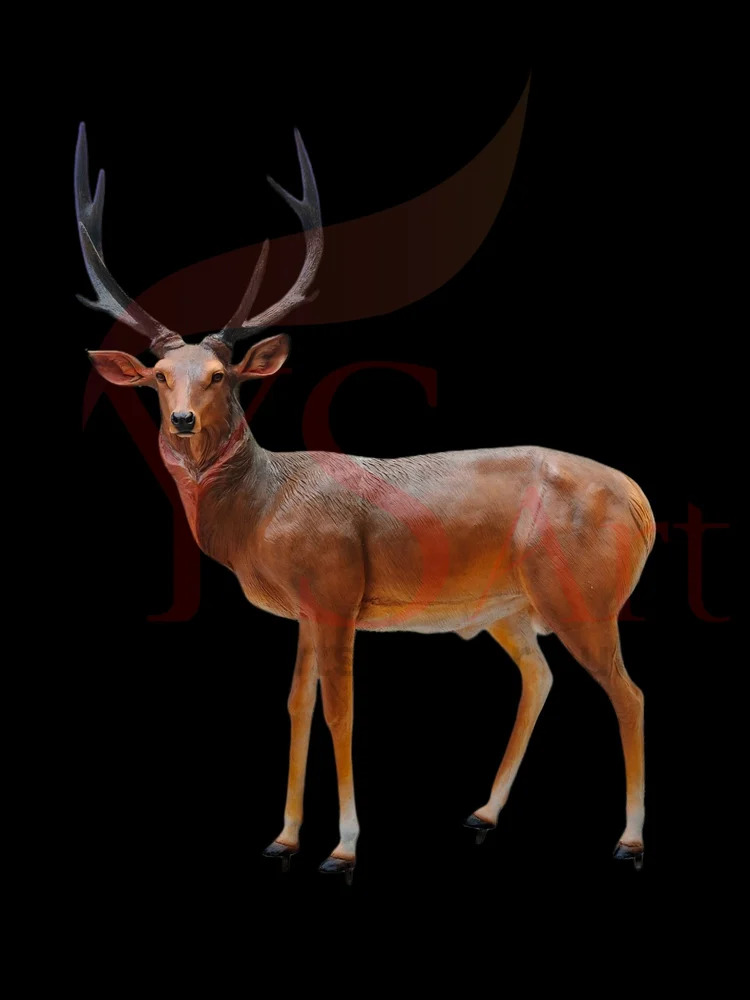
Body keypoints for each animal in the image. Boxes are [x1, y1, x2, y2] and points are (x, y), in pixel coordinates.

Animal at [76, 122, 655, 883]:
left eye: (222, 374)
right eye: (159, 376)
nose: (182, 421)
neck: (267, 506)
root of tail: (642, 504)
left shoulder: (336, 593)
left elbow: (340, 712)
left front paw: (343, 849)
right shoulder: (302, 611)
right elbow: (296, 705)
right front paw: (284, 838)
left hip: (582, 595)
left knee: (628, 692)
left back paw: (630, 840)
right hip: (509, 607)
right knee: (541, 676)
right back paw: (483, 814)